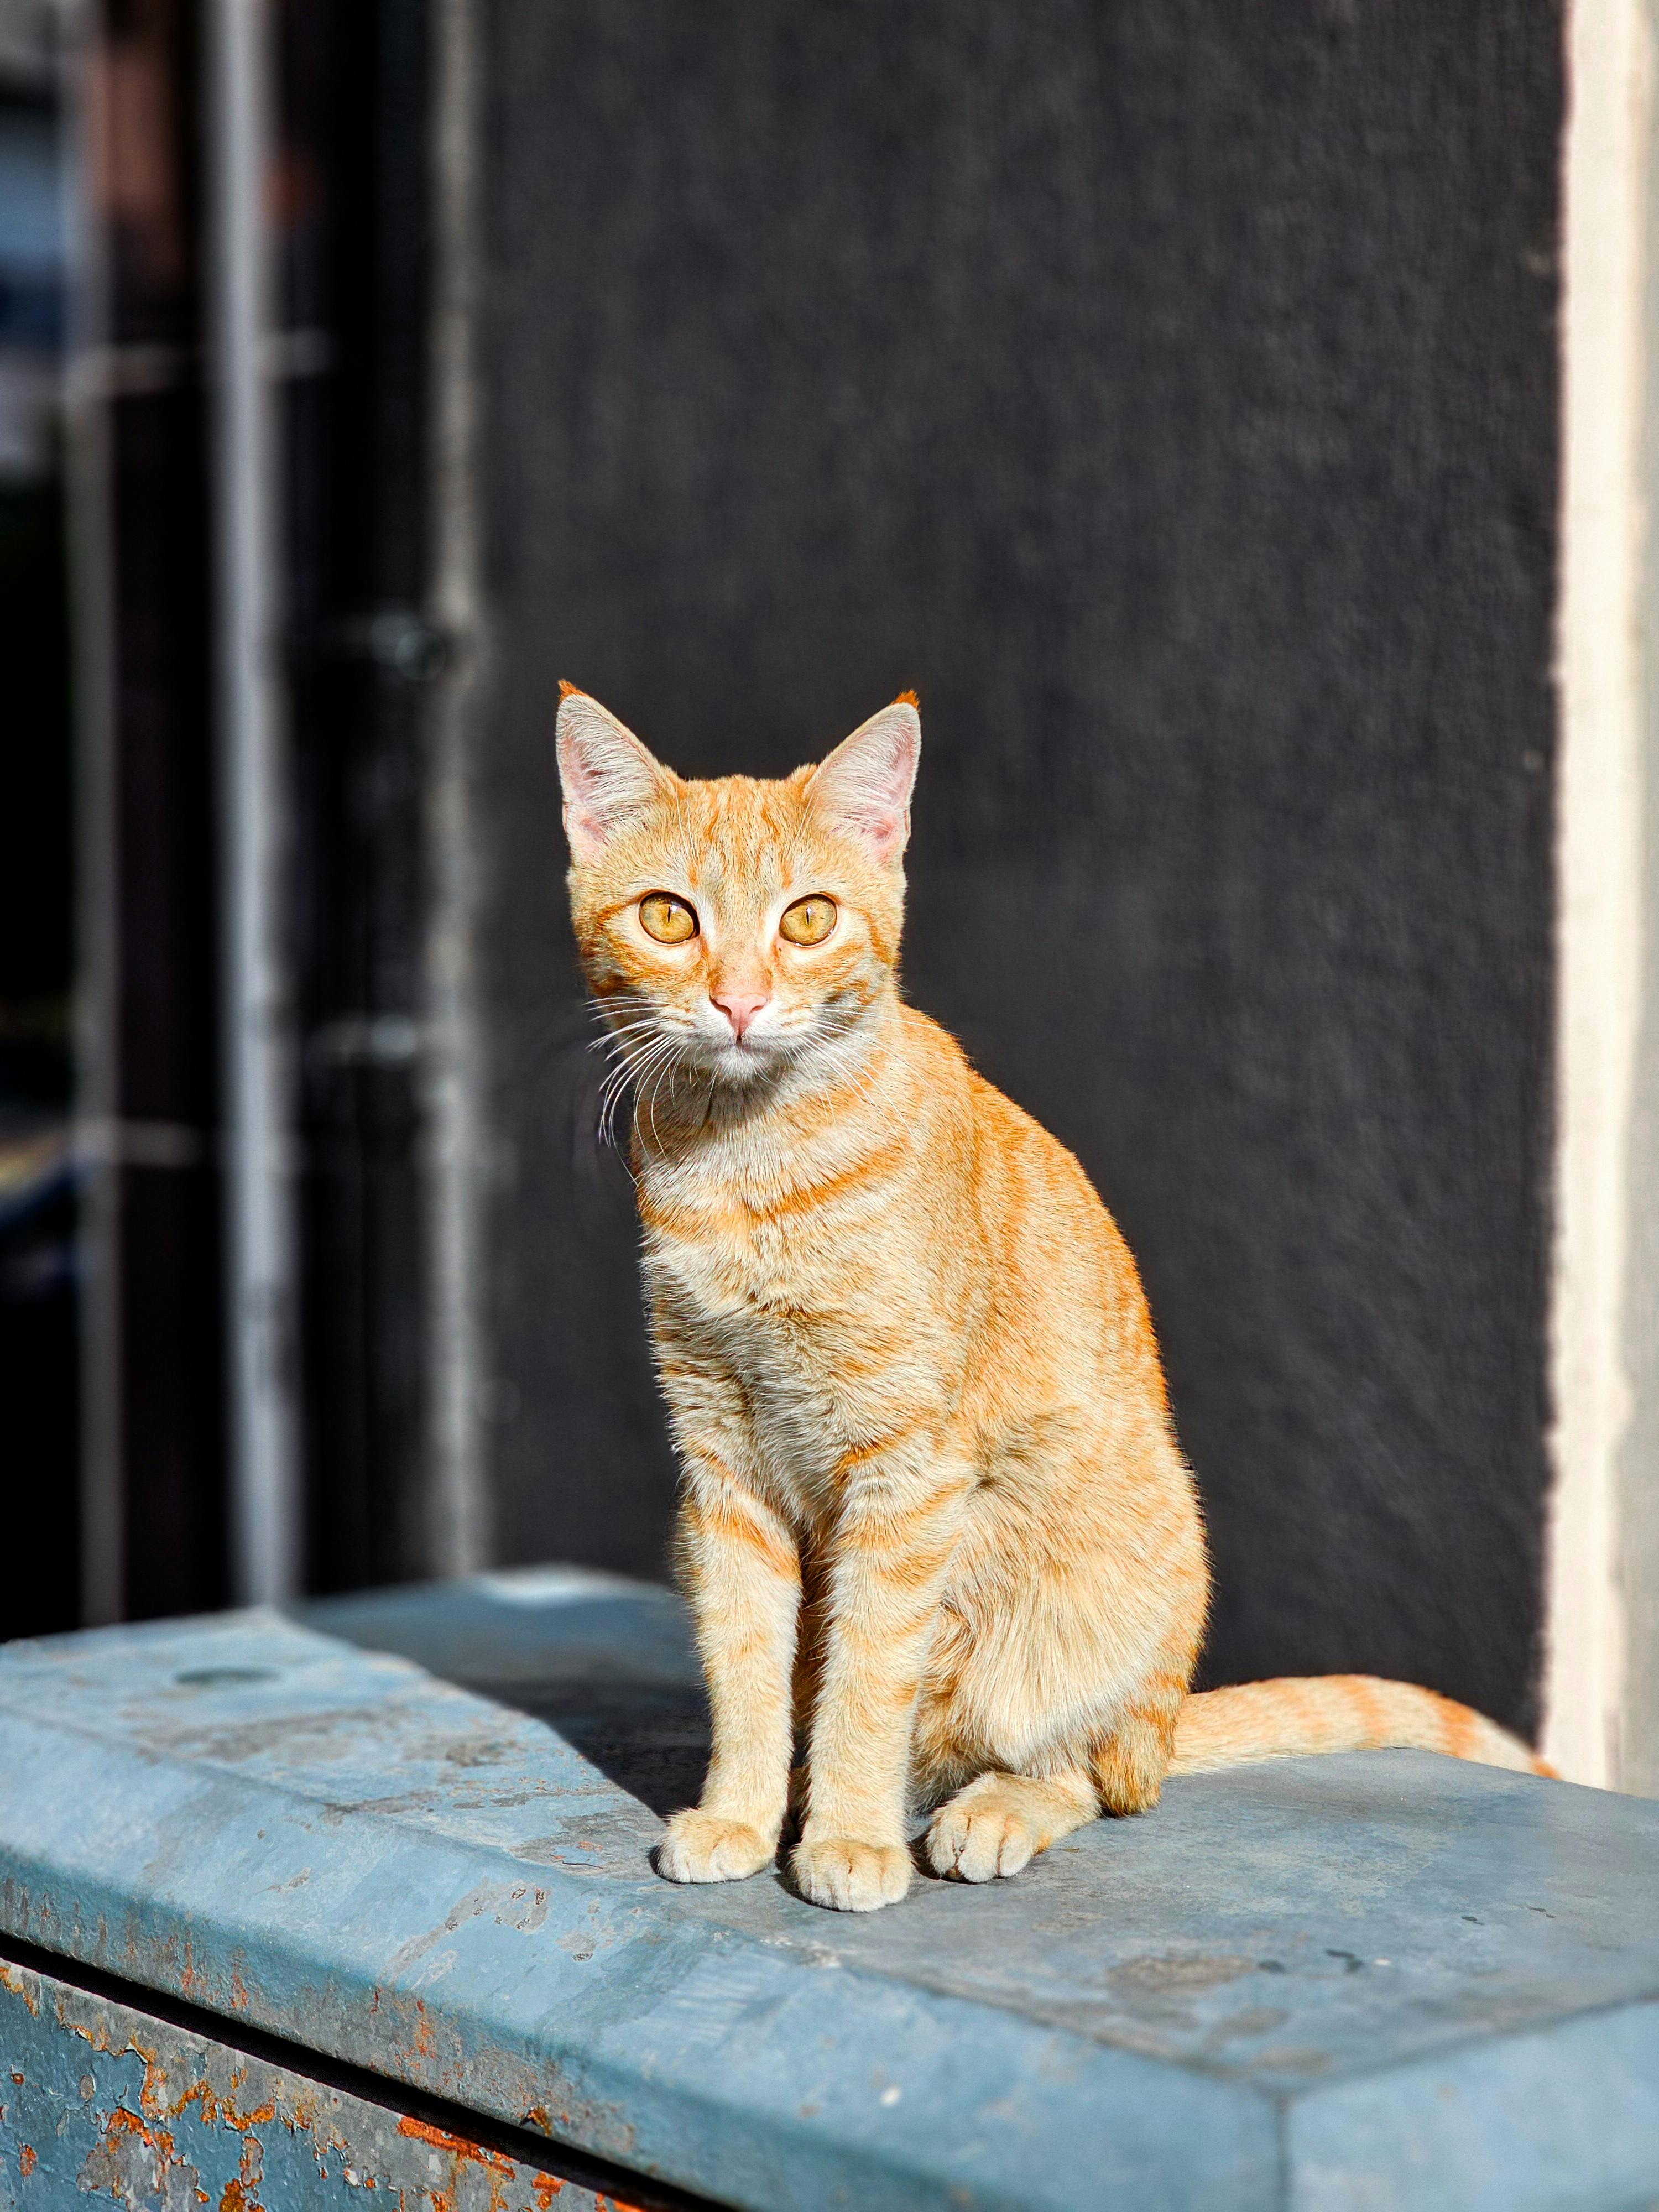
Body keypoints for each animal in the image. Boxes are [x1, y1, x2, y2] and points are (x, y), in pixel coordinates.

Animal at [562, 681, 1557, 1911]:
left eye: (807, 921)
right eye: (668, 918)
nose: (738, 1002)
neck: (750, 1168)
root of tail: (1165, 1723)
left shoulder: (901, 1476)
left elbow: (865, 1678)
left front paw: (847, 1834)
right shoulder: (721, 1464)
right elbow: (748, 1665)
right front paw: (743, 1813)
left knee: (1089, 1771)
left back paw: (989, 1811)